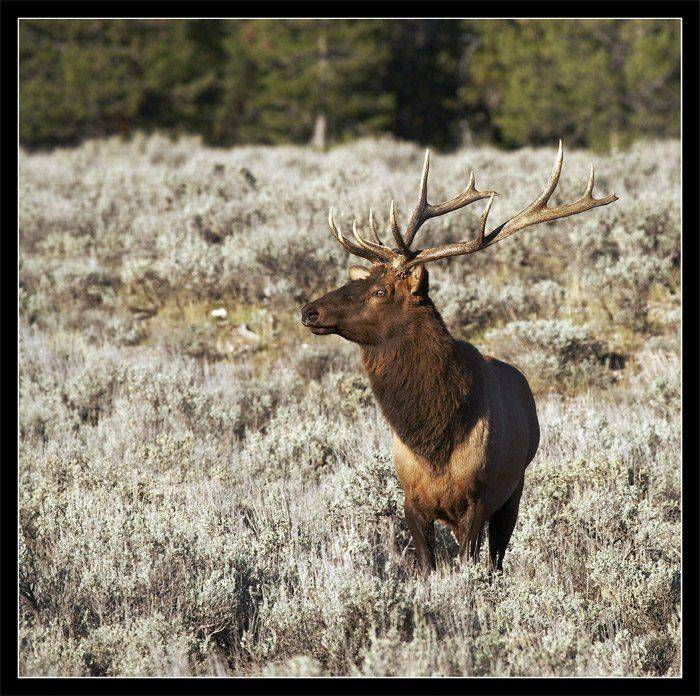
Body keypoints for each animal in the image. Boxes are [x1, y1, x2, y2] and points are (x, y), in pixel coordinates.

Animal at [301, 142, 618, 574]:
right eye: (360, 279)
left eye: (381, 291)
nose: (309, 311)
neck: (433, 440)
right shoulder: (412, 500)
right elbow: (427, 568)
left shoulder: (477, 500)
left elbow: (471, 562)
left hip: (514, 489)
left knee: (497, 558)